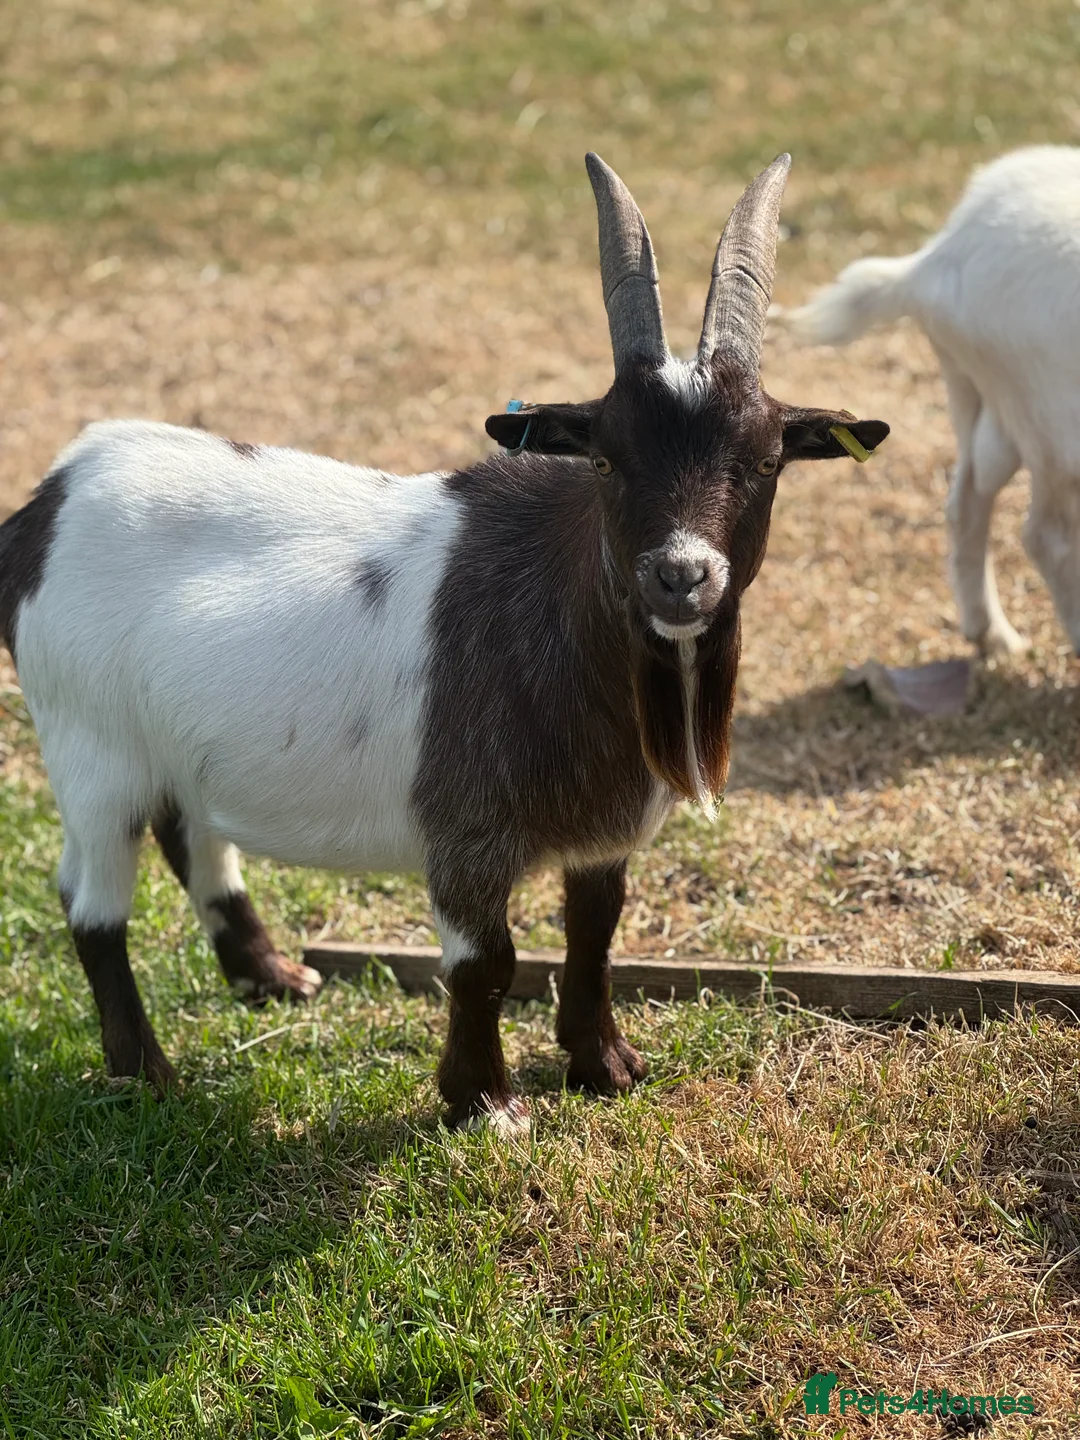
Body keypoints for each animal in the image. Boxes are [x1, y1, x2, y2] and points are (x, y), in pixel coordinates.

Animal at [0, 153, 888, 1130]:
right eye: (605, 458)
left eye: (766, 460)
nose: (681, 575)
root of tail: (45, 503)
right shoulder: (467, 828)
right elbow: (485, 962)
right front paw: (484, 1104)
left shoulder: (601, 827)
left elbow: (597, 928)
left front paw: (605, 1065)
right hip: (88, 748)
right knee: (90, 904)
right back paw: (146, 1072)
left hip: (166, 740)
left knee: (187, 831)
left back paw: (270, 977)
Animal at [788, 145, 1080, 656]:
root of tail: (936, 260)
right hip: (1050, 421)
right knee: (1049, 536)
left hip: (982, 396)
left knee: (968, 499)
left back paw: (990, 633)